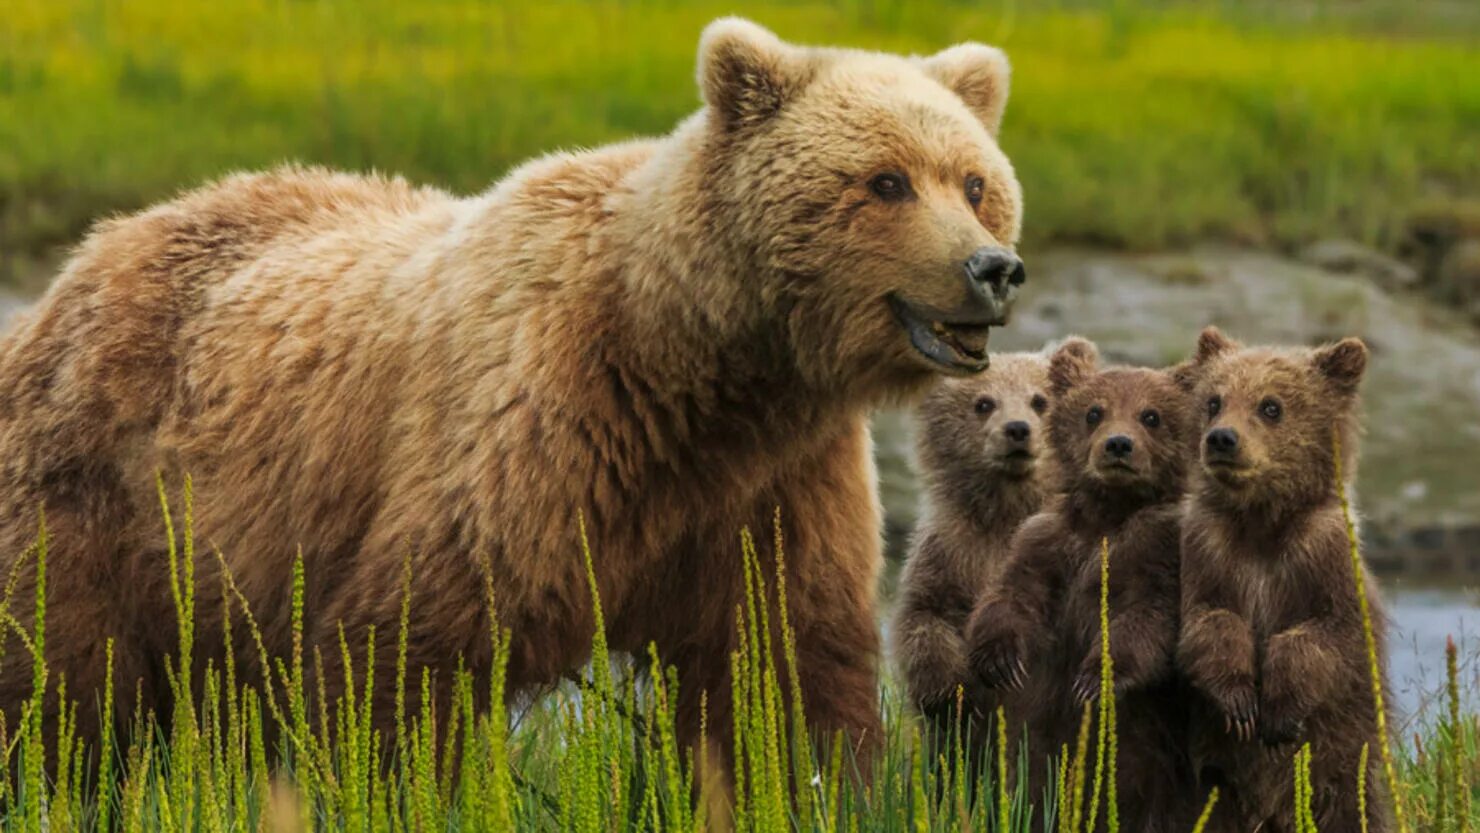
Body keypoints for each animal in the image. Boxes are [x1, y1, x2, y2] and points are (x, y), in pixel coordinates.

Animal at [0, 17, 1024, 769]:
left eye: (975, 181)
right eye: (885, 180)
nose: (993, 268)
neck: (698, 369)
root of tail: (90, 253)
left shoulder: (775, 480)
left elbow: (783, 663)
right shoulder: (537, 428)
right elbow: (411, 655)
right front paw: (390, 779)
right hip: (101, 495)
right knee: (62, 682)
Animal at [888, 352, 1053, 742]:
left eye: (1039, 400)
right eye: (983, 403)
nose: (1017, 429)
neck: (1006, 509)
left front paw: (1002, 660)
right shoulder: (949, 549)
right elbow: (922, 616)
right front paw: (950, 697)